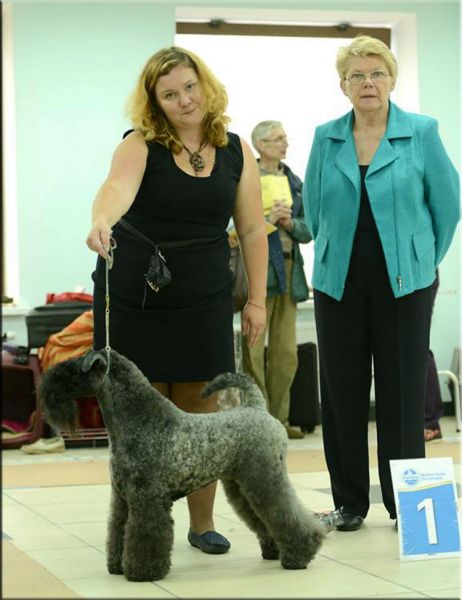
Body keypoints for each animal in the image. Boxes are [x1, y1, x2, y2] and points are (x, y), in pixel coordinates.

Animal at [39, 352, 324, 580]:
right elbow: (118, 530)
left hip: (264, 478)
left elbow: (146, 534)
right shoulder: (122, 498)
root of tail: (258, 408)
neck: (140, 420)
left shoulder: (147, 497)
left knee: (286, 514)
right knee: (264, 517)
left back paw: (300, 554)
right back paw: (274, 550)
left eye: (70, 370)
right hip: (241, 486)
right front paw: (117, 566)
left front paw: (143, 572)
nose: (44, 388)